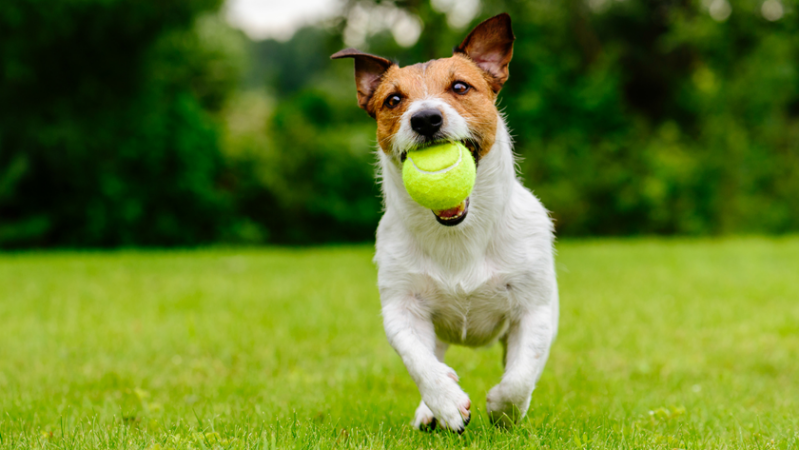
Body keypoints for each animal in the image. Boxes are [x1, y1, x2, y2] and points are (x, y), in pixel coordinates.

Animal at [334, 13, 560, 432]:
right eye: (393, 100)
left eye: (460, 87)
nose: (425, 118)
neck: (458, 234)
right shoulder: (401, 307)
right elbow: (418, 361)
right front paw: (445, 402)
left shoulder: (534, 309)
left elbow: (520, 376)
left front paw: (503, 408)